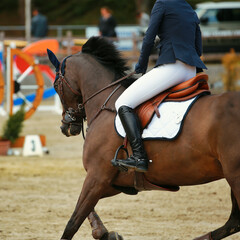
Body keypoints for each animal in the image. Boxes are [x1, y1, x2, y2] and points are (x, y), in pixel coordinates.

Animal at [47, 36, 240, 240]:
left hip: (234, 176)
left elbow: (73, 221)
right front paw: (105, 233)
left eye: (56, 85)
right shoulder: (116, 181)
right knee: (234, 222)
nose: (65, 126)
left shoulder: (97, 176)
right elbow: (86, 210)